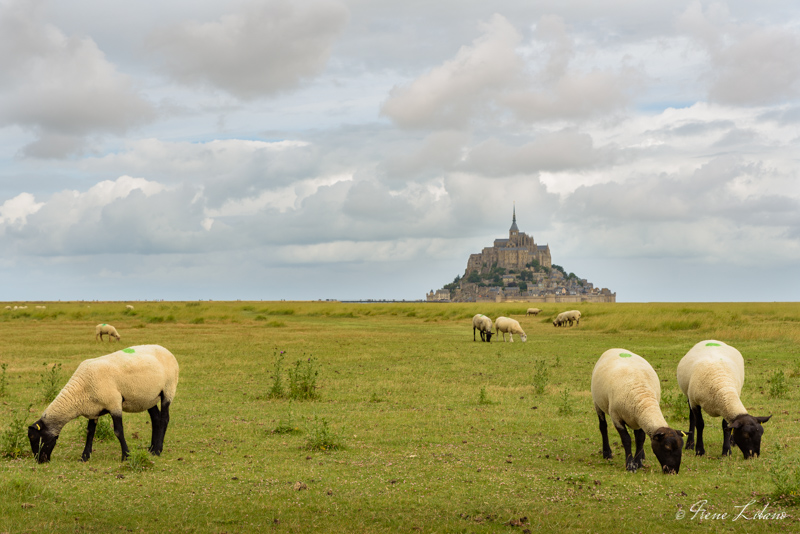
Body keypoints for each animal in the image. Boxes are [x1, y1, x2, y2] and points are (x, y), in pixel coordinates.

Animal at [28, 344, 180, 464]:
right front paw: (84, 457)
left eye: (36, 438)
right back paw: (152, 448)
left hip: (168, 389)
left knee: (164, 418)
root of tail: (166, 349)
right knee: (156, 419)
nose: (40, 461)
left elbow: (118, 431)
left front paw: (126, 456)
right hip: (147, 397)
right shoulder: (93, 410)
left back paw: (158, 450)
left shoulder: (114, 404)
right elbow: (90, 432)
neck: (80, 389)